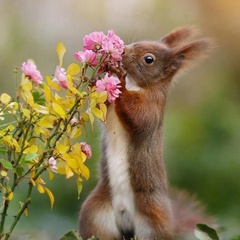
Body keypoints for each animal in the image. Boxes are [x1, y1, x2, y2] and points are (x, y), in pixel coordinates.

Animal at [78, 27, 212, 239]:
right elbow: (103, 108)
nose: (122, 50)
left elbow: (138, 116)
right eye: (139, 42)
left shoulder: (152, 107)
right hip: (95, 217)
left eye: (149, 59)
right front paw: (98, 77)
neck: (137, 84)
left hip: (153, 224)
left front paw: (120, 79)